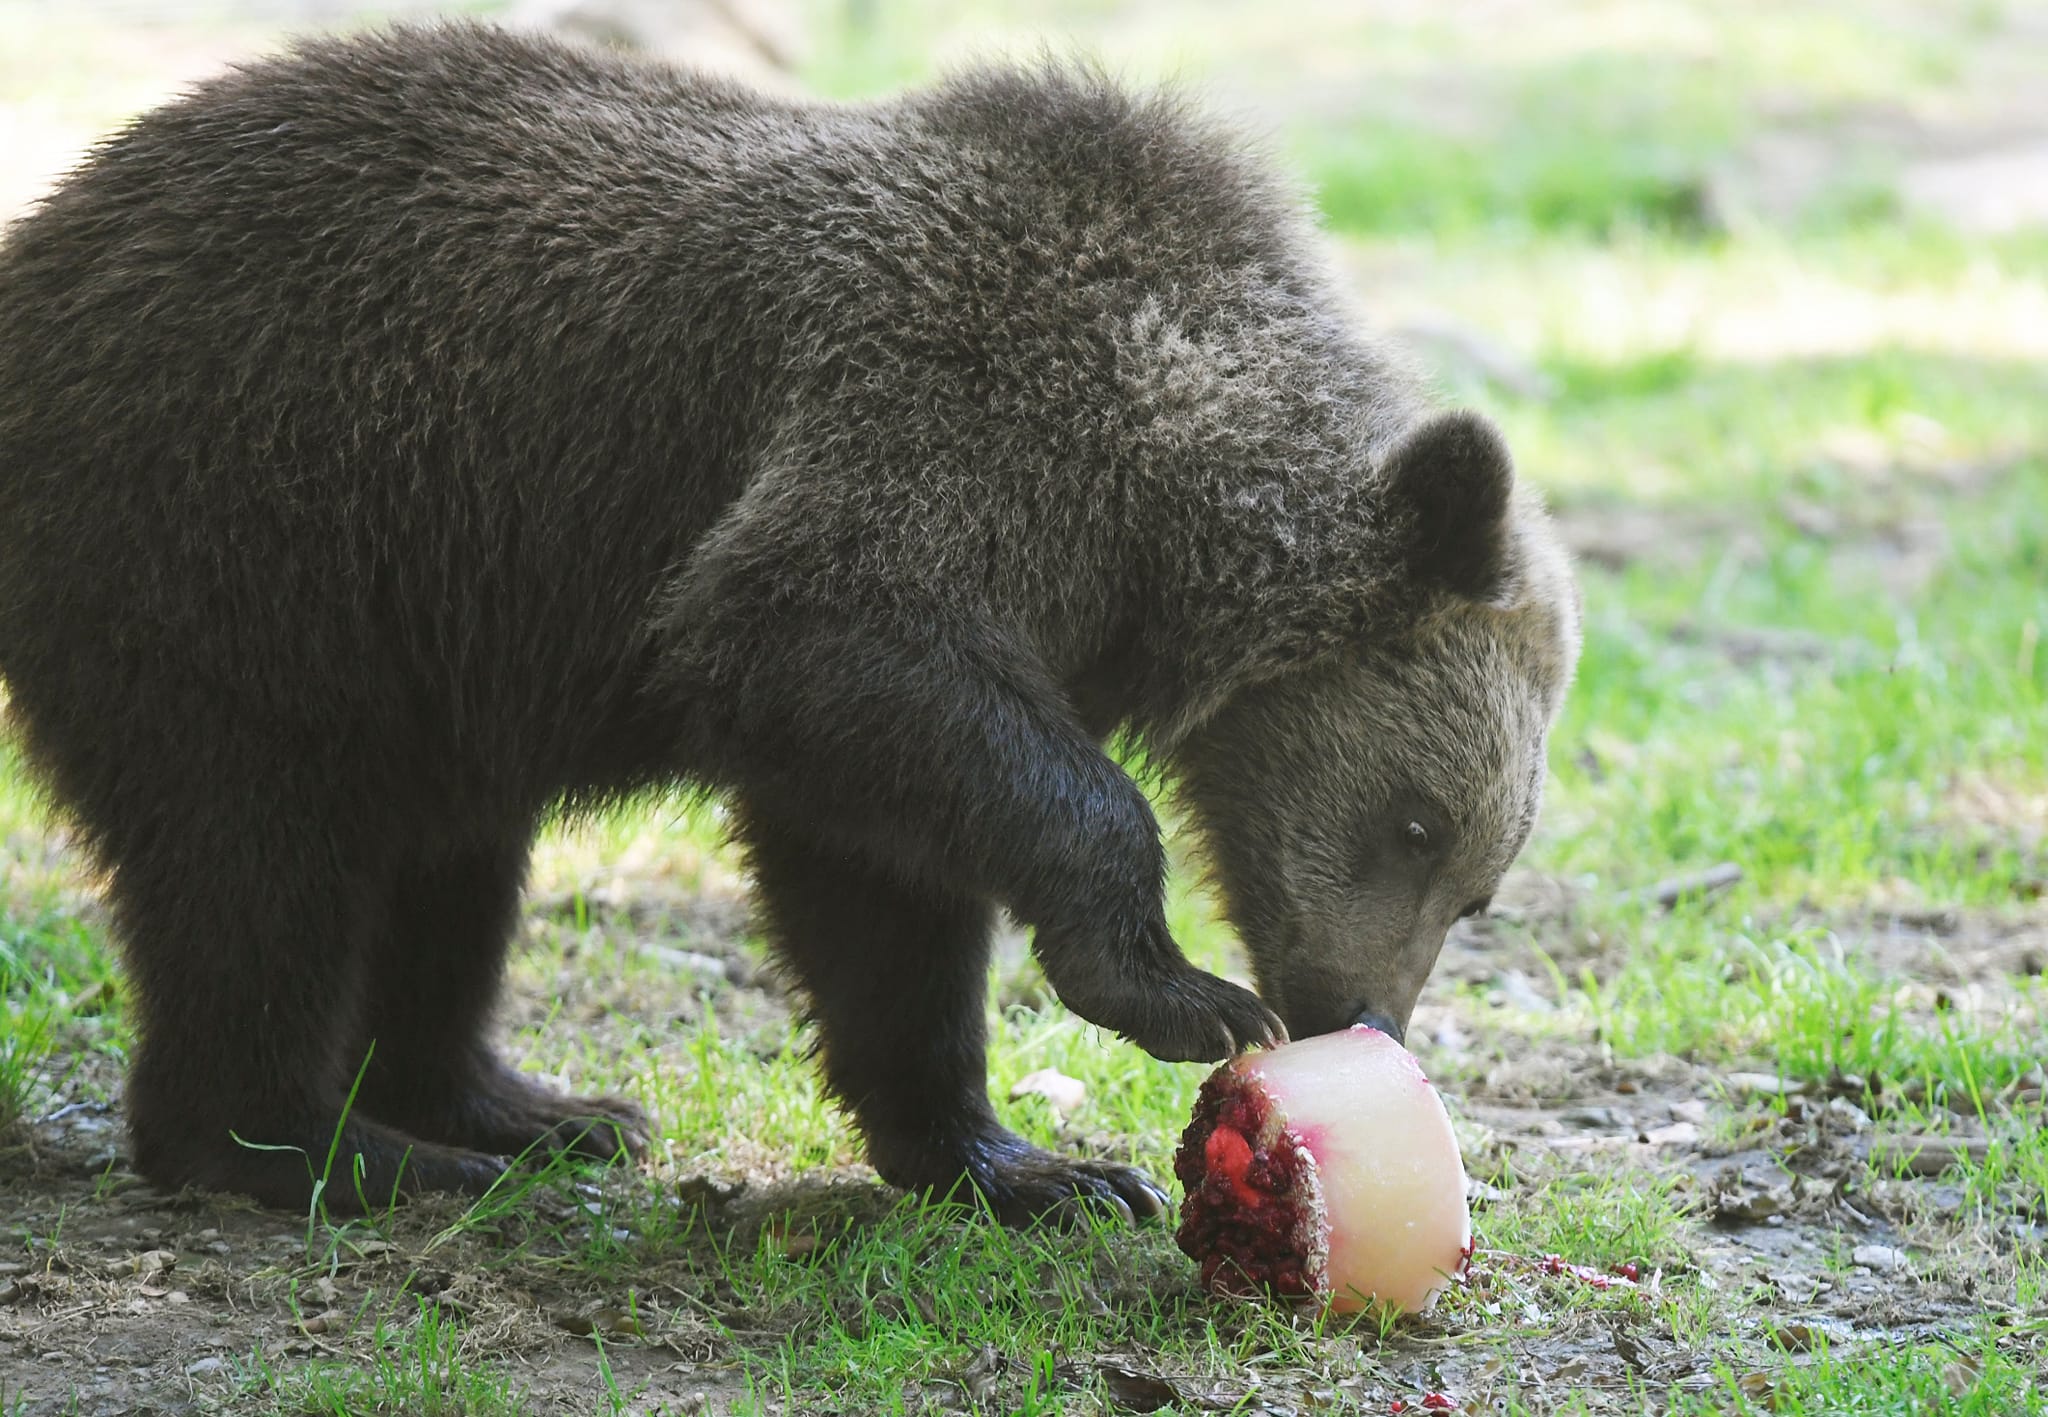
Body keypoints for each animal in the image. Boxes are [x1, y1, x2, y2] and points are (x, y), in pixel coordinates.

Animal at [0, 22, 1581, 1220]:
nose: (1348, 1013)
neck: (1144, 498)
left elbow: (878, 889)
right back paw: (332, 1150)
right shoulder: (932, 435)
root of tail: (44, 244)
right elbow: (818, 636)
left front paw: (1029, 1166)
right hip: (237, 555)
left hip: (420, 645)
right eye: (1419, 823)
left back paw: (526, 1108)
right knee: (258, 868)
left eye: (1478, 885)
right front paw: (1178, 991)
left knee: (444, 871)